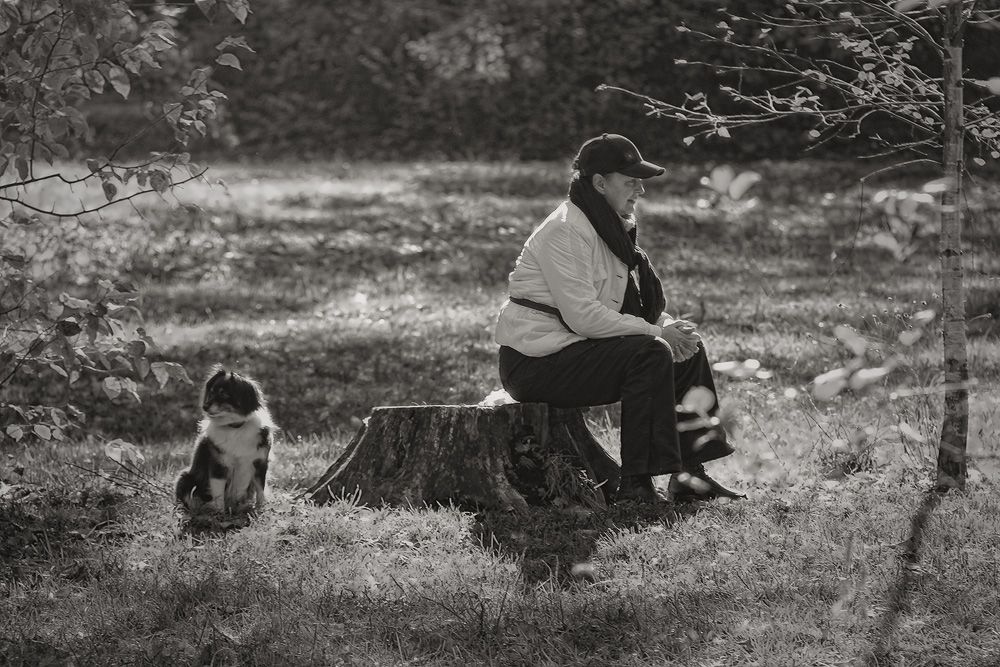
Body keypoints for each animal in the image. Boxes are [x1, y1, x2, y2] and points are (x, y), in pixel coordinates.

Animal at [174, 366, 272, 516]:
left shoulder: (260, 463)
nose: (205, 406)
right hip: (185, 478)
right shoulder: (218, 465)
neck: (235, 427)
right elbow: (218, 494)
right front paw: (219, 514)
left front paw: (261, 509)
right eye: (211, 392)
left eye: (224, 394)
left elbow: (261, 489)